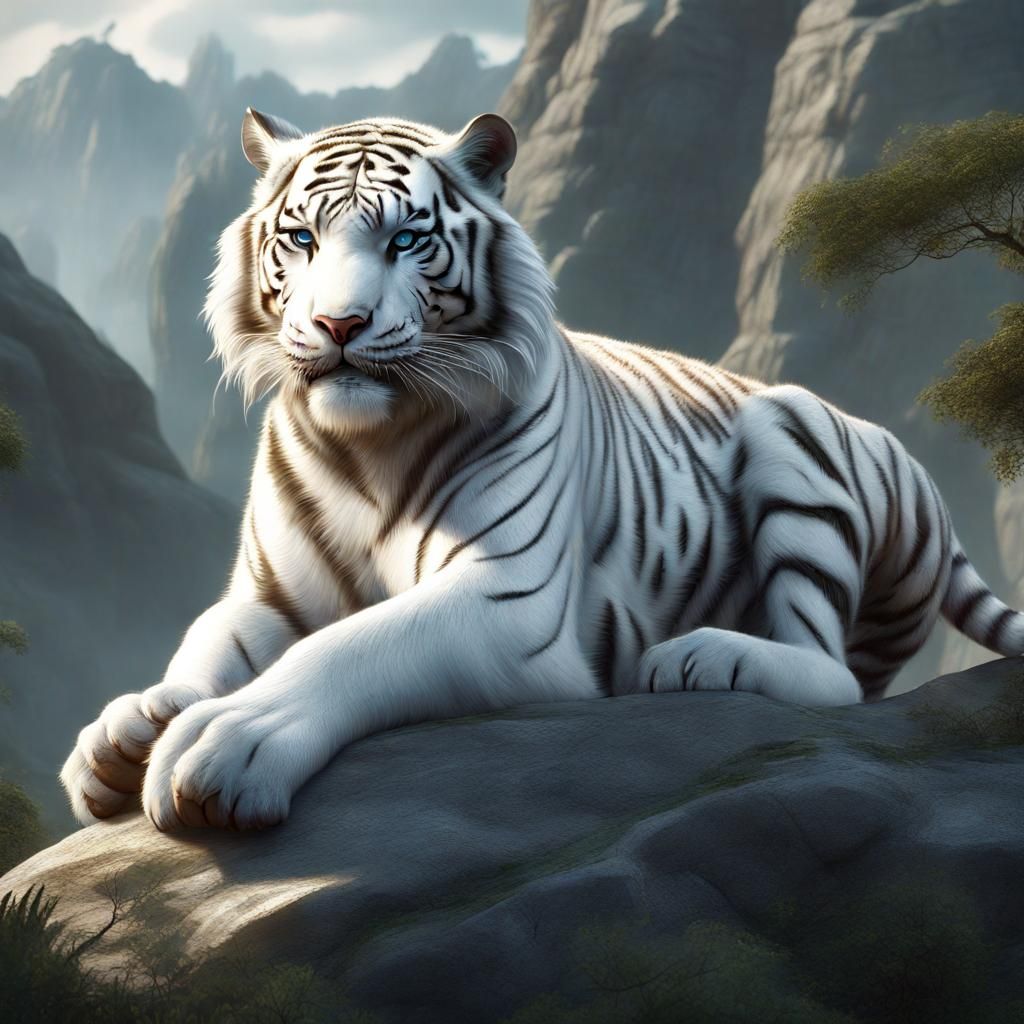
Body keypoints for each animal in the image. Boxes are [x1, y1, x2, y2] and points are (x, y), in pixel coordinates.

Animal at [61, 109, 1024, 832]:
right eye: (299, 238)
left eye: (406, 240)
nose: (339, 324)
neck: (363, 445)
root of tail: (923, 483)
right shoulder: (267, 598)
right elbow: (206, 643)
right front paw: (127, 729)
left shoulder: (506, 599)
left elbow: (352, 646)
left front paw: (225, 742)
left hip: (790, 434)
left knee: (836, 674)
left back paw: (698, 657)